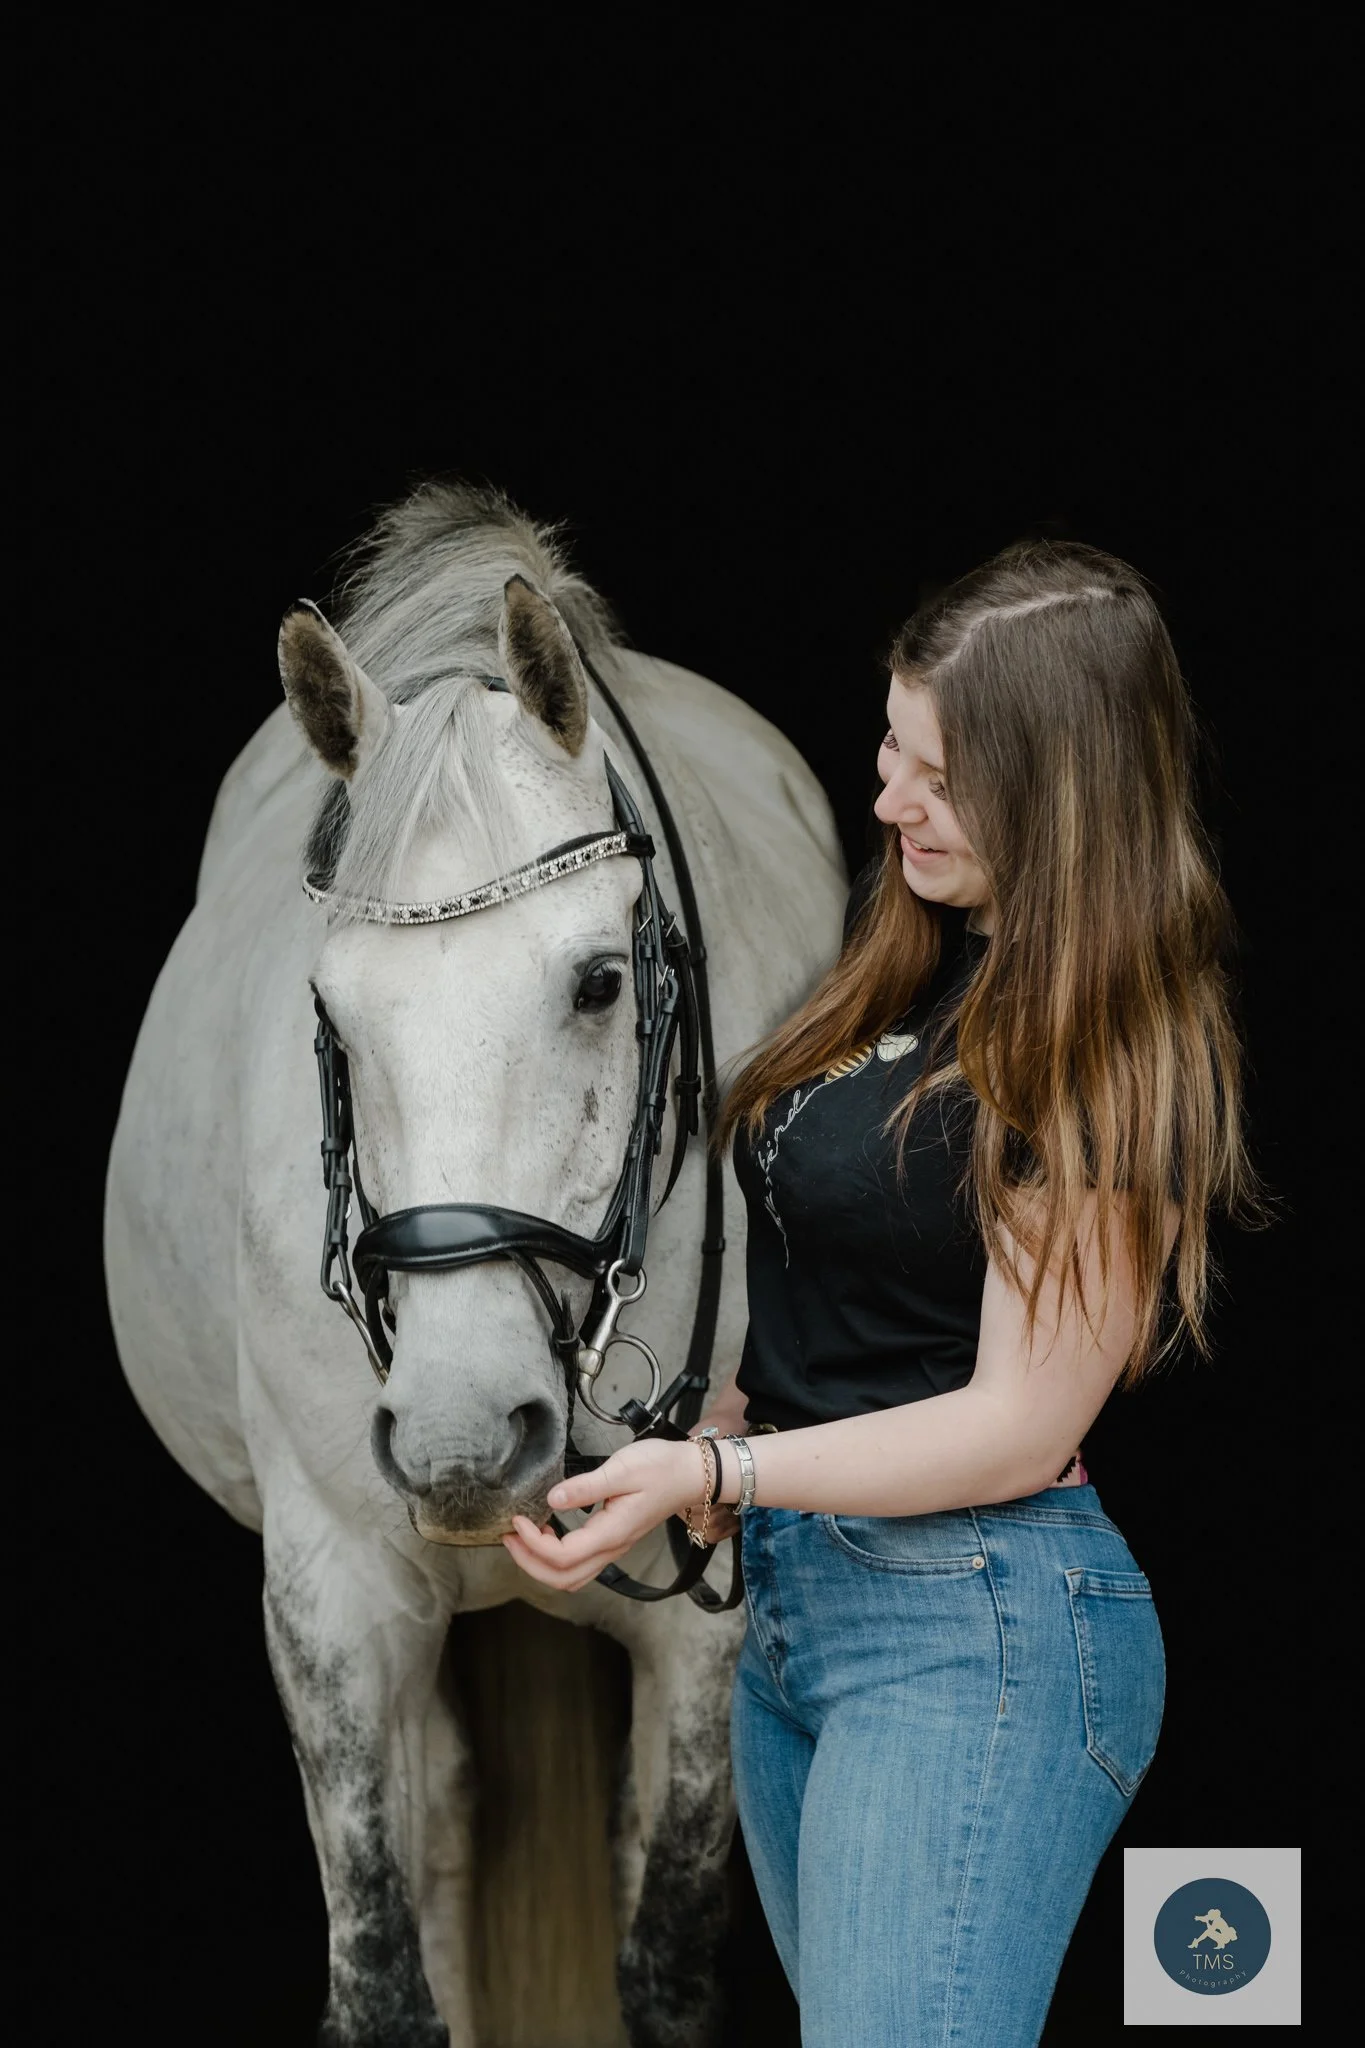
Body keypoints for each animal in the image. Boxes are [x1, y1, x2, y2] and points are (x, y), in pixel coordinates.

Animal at [104, 482, 846, 2047]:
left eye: (599, 981)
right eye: (331, 1012)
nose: (461, 1433)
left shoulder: (707, 1618)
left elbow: (663, 1961)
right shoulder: (334, 1594)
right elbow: (385, 1978)